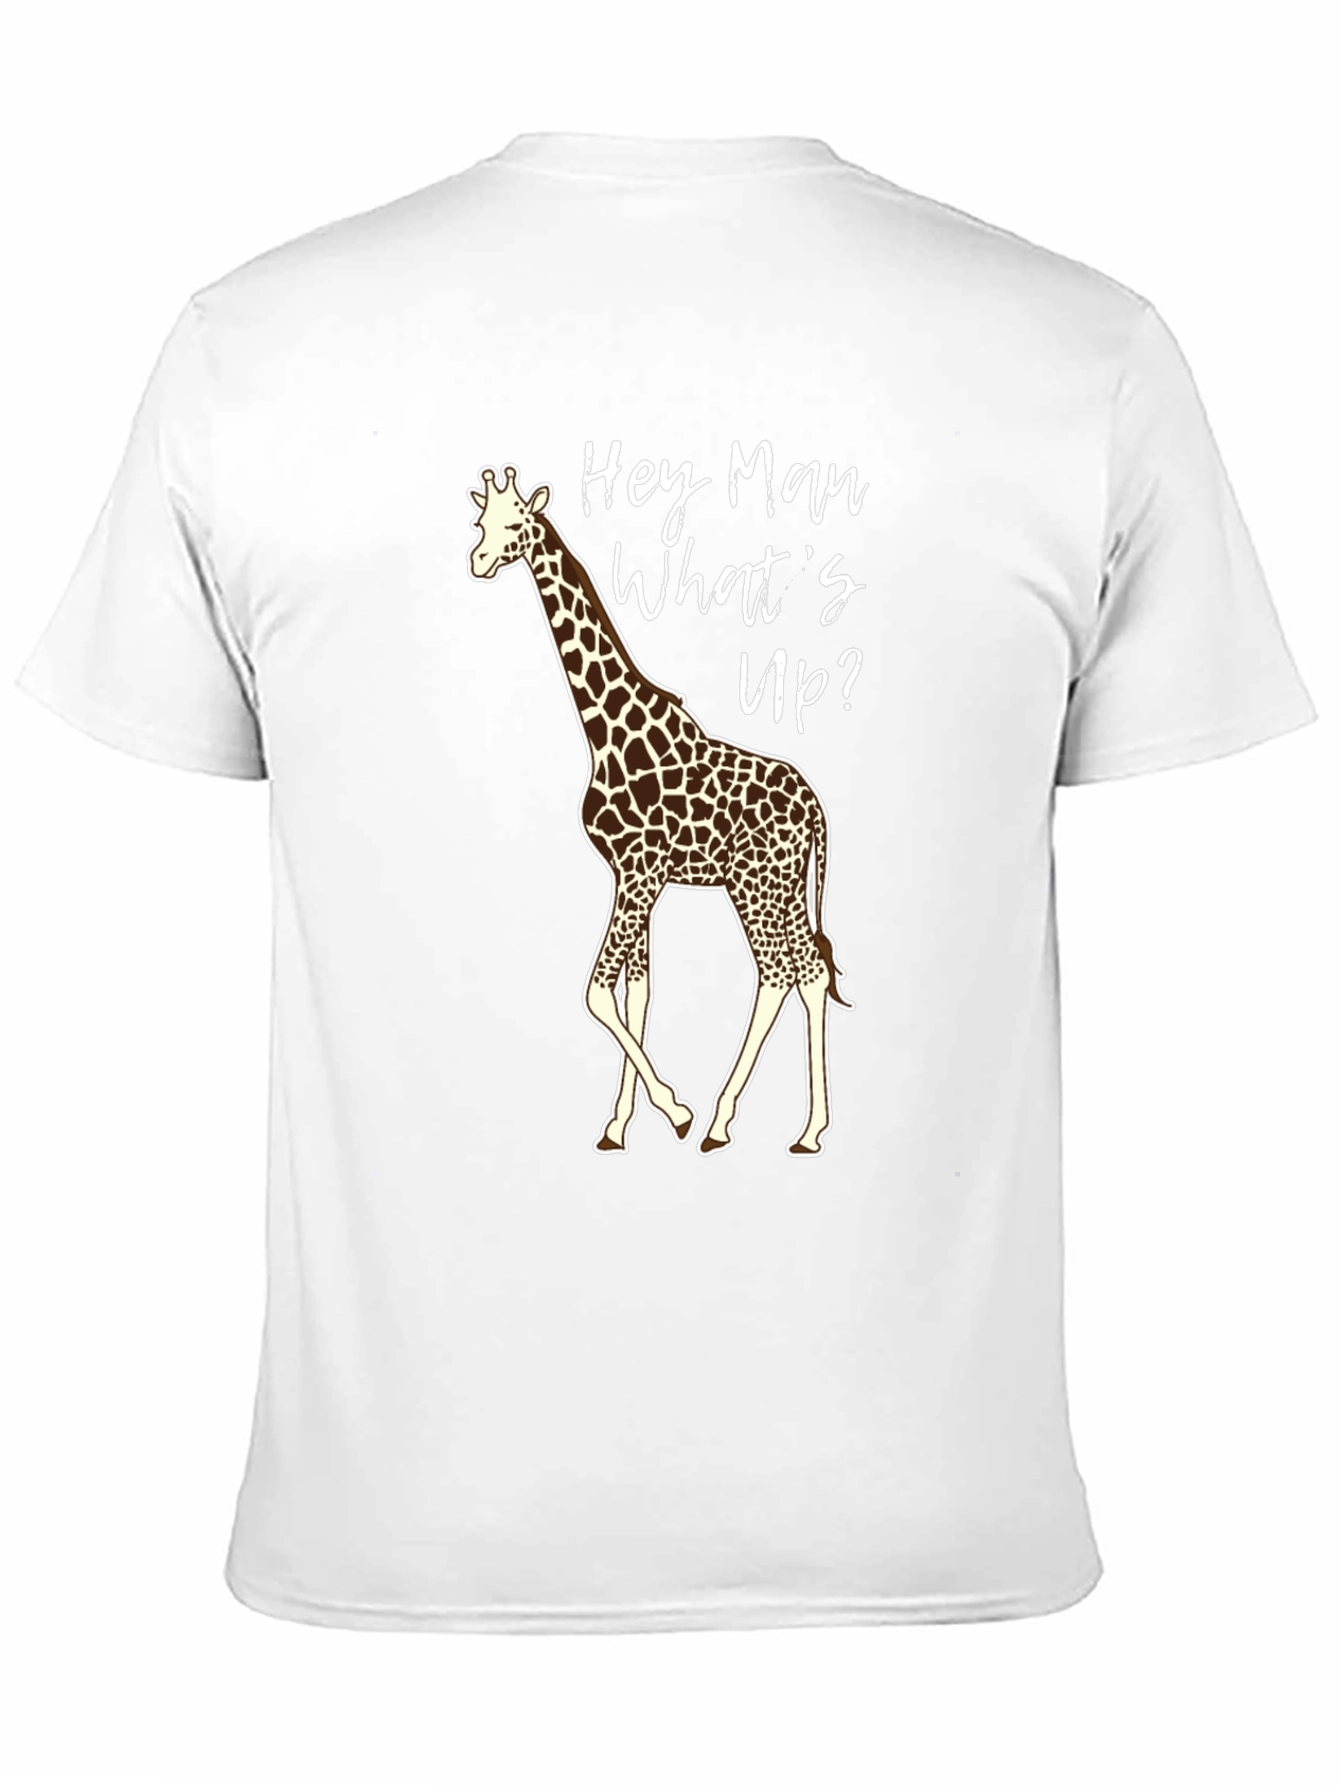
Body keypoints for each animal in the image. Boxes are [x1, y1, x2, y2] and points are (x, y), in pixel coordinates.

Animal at [468, 466, 848, 1155]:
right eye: (480, 522)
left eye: (516, 525)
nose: (479, 561)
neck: (605, 730)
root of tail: (814, 805)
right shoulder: (630, 875)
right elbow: (634, 992)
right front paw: (619, 1126)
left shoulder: (640, 872)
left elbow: (598, 993)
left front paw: (675, 1111)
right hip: (778, 886)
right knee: (806, 971)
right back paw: (801, 1128)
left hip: (756, 884)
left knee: (782, 972)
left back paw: (736, 1123)